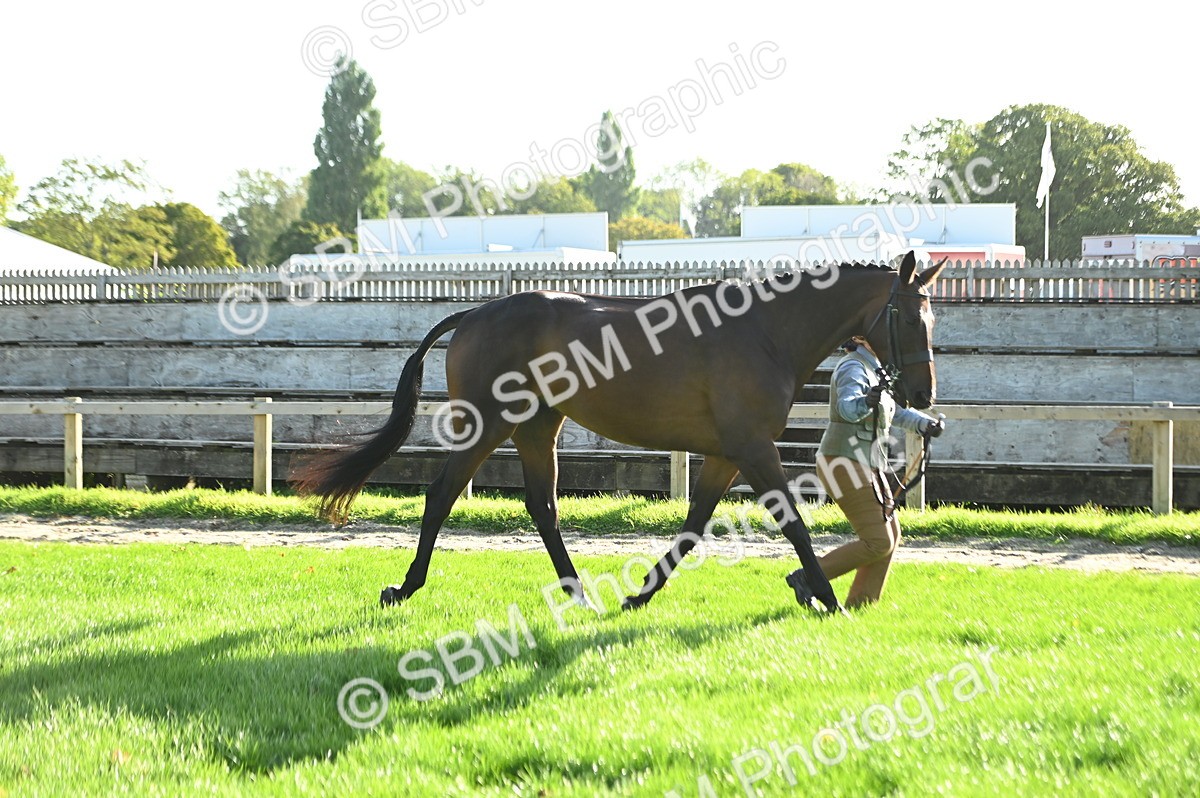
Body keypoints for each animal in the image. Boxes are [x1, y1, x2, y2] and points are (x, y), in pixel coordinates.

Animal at [293, 251, 947, 614]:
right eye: (910, 316)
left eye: (932, 318)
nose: (923, 397)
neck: (765, 332)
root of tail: (476, 313)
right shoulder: (755, 449)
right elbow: (794, 526)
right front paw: (828, 600)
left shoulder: (726, 454)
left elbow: (692, 528)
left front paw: (638, 595)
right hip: (489, 424)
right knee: (441, 495)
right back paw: (405, 588)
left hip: (538, 426)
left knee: (543, 506)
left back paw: (579, 592)